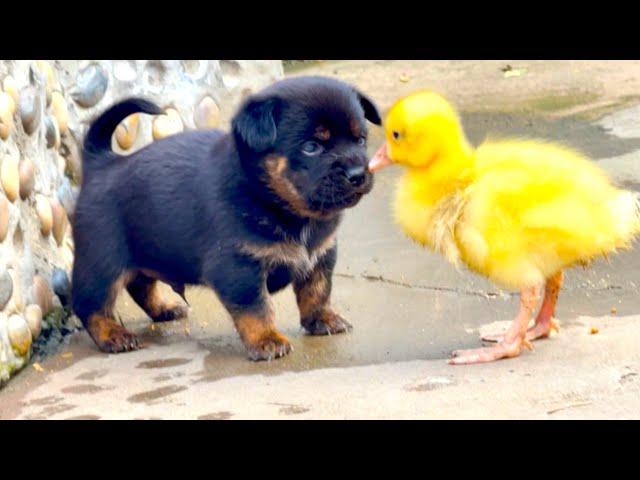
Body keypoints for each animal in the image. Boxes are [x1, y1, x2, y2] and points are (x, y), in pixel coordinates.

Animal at [71, 75, 380, 360]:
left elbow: (317, 291)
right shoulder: (238, 267)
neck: (275, 202)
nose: (358, 174)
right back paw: (113, 335)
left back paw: (163, 309)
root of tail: (102, 163)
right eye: (312, 147)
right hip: (102, 263)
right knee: (90, 304)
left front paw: (322, 319)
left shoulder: (321, 256)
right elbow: (257, 307)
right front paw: (266, 339)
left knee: (141, 284)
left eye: (361, 140)